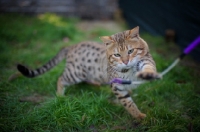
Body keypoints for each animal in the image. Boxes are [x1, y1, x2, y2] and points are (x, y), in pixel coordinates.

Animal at [17, 26, 159, 119]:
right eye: (117, 55)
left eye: (130, 51)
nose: (125, 61)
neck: (128, 71)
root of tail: (71, 46)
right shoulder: (117, 86)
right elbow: (127, 103)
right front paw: (138, 115)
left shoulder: (146, 60)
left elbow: (148, 67)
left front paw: (148, 74)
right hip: (75, 73)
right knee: (60, 78)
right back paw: (60, 95)